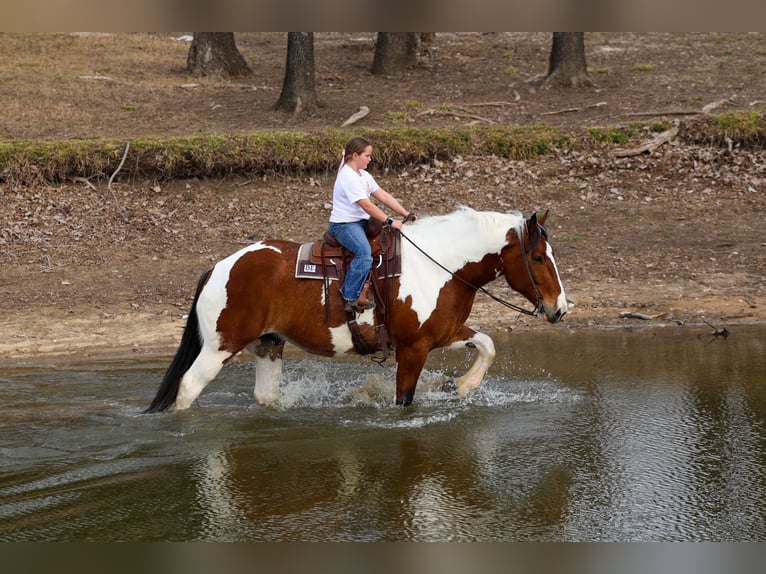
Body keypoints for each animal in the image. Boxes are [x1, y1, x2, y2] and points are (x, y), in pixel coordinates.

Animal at [146, 207, 568, 412]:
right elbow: (403, 400)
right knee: (188, 387)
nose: (559, 309)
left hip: (268, 344)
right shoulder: (413, 349)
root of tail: (218, 268)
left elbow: (487, 344)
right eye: (537, 257)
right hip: (220, 346)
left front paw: (463, 385)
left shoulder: (440, 335)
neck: (440, 265)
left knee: (265, 396)